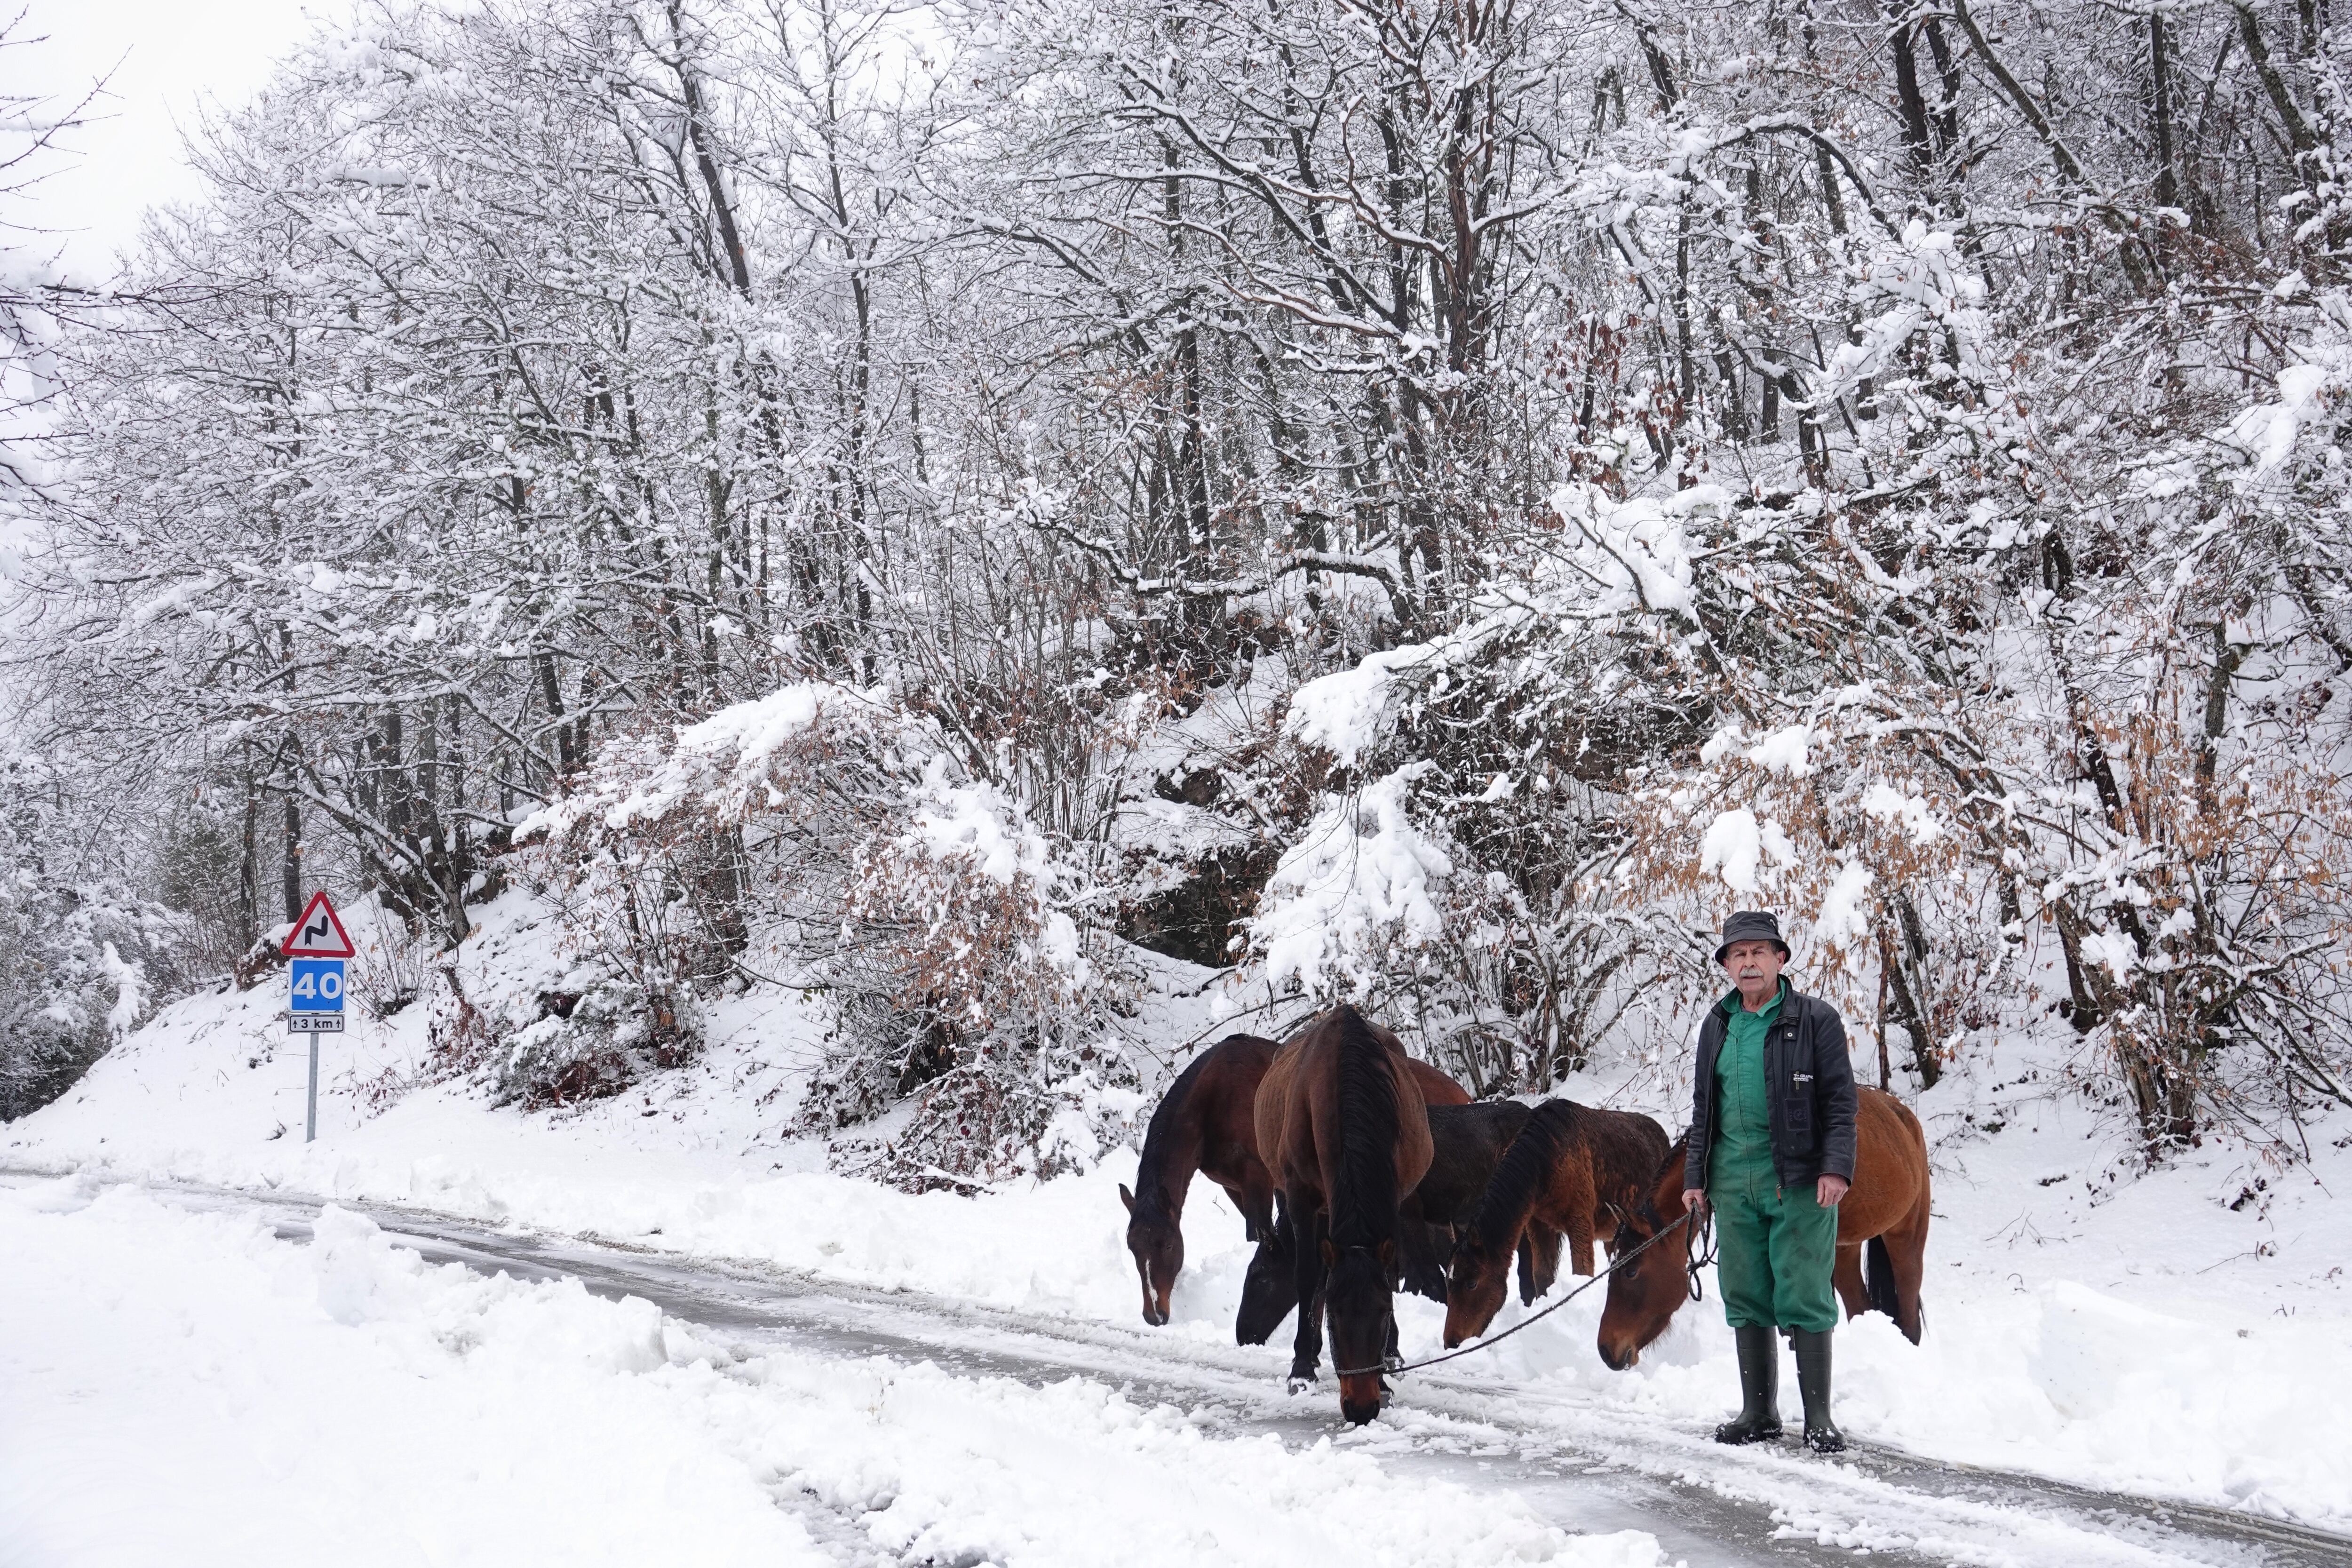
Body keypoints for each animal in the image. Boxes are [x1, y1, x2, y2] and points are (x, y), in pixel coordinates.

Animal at [1251, 1011, 1430, 1429]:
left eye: (1383, 1312)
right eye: (1334, 1314)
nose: (1362, 1408)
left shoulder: (1392, 1197)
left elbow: (1390, 1274)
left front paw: (1385, 1372)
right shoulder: (1300, 1200)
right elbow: (1307, 1278)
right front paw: (1301, 1369)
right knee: (1315, 1273)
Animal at [1430, 1105, 1675, 1354]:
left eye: (1472, 1283)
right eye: (1448, 1282)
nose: (1451, 1342)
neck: (1544, 1165)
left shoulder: (1580, 1219)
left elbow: (1582, 1273)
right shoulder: (1539, 1225)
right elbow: (1543, 1279)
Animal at [1590, 1086, 1938, 1363]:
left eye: (1631, 1271)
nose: (1606, 1350)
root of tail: (1902, 1114)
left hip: (1906, 1238)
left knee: (1909, 1315)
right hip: (1846, 1251)